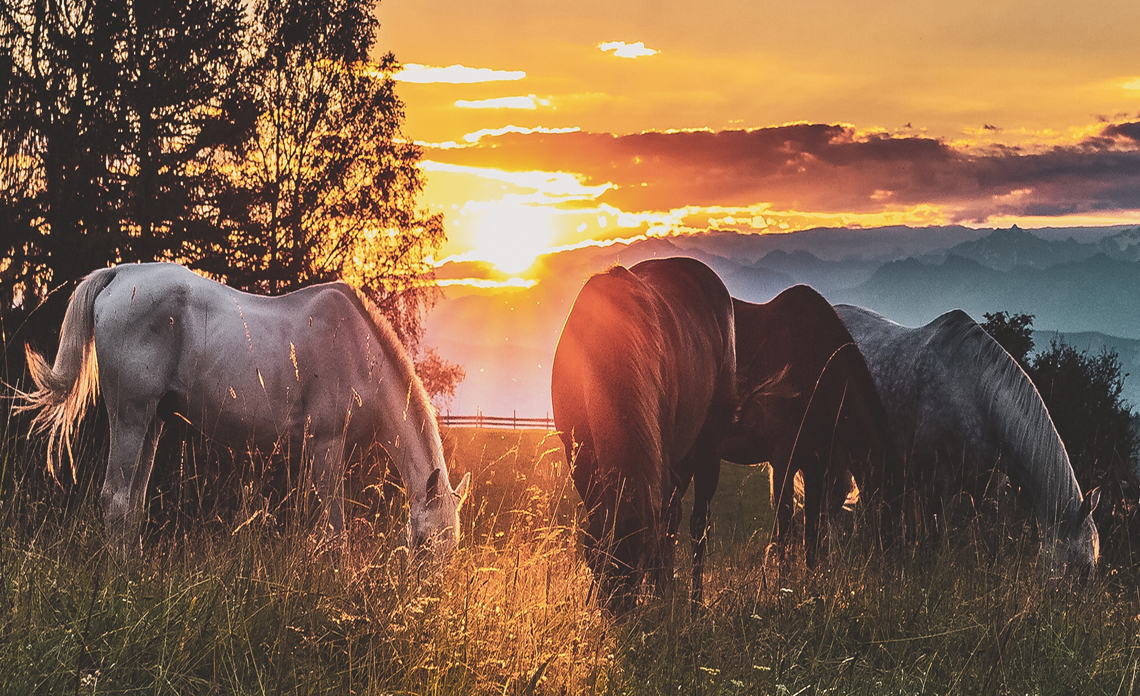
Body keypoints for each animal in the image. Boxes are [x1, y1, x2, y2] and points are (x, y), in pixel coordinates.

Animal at [20, 264, 469, 558]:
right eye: (424, 544)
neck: (359, 351)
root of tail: (119, 275)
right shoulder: (326, 444)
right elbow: (335, 531)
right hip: (129, 416)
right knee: (115, 500)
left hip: (152, 423)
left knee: (132, 504)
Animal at [551, 256, 738, 610]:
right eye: (596, 562)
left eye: (637, 568)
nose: (618, 614)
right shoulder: (580, 457)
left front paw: (662, 594)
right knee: (675, 518)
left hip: (708, 448)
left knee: (696, 525)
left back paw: (691, 603)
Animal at [720, 285, 898, 569]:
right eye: (891, 507)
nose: (896, 564)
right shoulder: (783, 463)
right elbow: (785, 536)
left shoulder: (816, 467)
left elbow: (812, 538)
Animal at [834, 305, 1098, 576]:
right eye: (1082, 569)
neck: (976, 397)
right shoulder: (936, 484)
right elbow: (933, 540)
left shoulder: (988, 490)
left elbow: (990, 544)